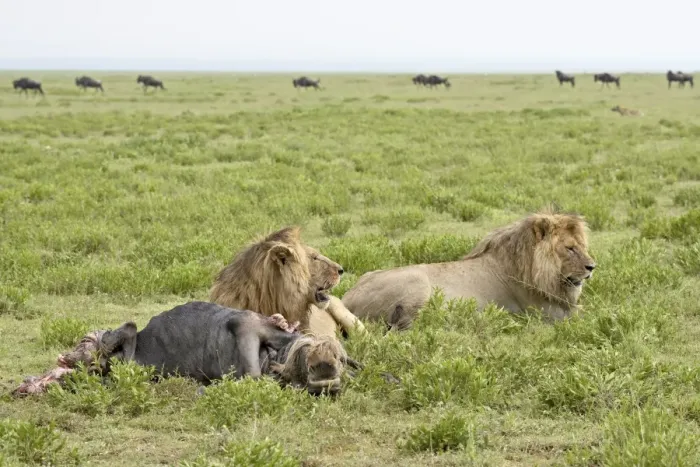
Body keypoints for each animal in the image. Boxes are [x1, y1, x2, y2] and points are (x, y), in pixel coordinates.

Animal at [342, 210, 596, 329]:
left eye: (582, 246)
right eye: (570, 248)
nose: (592, 267)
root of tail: (347, 297)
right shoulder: (545, 312)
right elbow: (588, 313)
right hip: (417, 283)